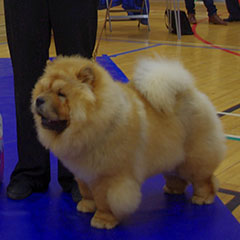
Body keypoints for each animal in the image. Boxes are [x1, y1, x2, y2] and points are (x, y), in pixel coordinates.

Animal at [31, 55, 226, 230]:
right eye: (43, 90)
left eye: (61, 94)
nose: (38, 100)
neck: (98, 123)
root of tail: (192, 92)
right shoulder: (83, 172)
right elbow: (87, 192)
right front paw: (86, 206)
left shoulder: (108, 177)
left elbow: (105, 201)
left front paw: (102, 221)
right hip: (173, 155)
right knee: (176, 175)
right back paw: (172, 189)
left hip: (195, 157)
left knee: (204, 179)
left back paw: (202, 198)